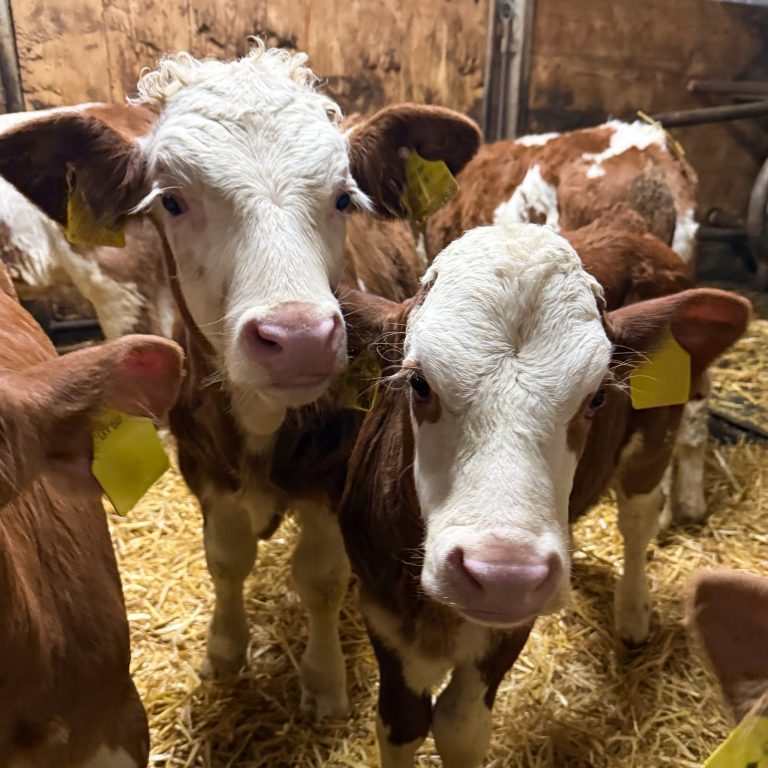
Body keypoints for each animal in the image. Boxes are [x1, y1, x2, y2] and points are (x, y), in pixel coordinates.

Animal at [342, 222, 752, 768]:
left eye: (597, 397)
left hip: (655, 436)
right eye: (418, 383)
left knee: (638, 520)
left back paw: (633, 611)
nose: (503, 576)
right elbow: (400, 725)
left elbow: (460, 727)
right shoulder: (380, 611)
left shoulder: (509, 628)